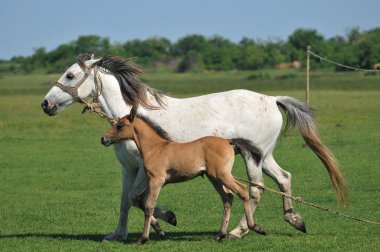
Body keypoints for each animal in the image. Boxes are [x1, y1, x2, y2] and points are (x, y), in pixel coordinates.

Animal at [102, 107, 266, 244]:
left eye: (120, 126)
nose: (103, 139)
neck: (155, 148)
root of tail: (227, 141)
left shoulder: (157, 181)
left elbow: (148, 206)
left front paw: (143, 238)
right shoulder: (154, 181)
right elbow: (140, 201)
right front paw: (161, 229)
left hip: (222, 175)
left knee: (242, 190)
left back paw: (254, 227)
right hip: (214, 177)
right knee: (228, 198)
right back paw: (220, 235)